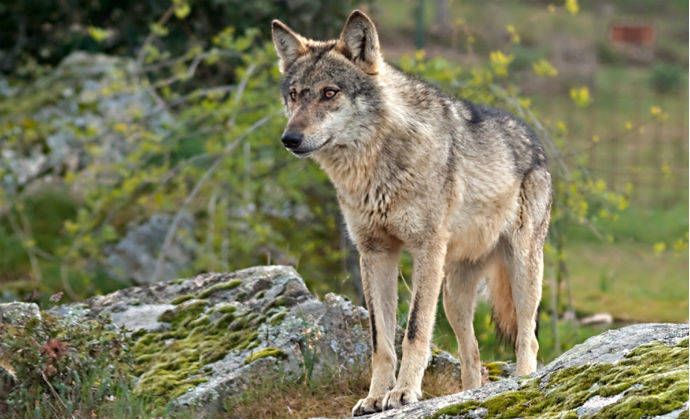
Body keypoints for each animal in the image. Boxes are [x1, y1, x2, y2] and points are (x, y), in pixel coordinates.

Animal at [271, 10, 551, 415]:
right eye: (294, 95)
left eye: (329, 92)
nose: (289, 139)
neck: (375, 167)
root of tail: (535, 141)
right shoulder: (374, 254)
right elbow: (381, 341)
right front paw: (375, 397)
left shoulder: (424, 249)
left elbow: (415, 331)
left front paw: (403, 394)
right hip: (452, 297)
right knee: (473, 355)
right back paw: (468, 396)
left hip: (521, 272)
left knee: (527, 338)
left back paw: (524, 383)